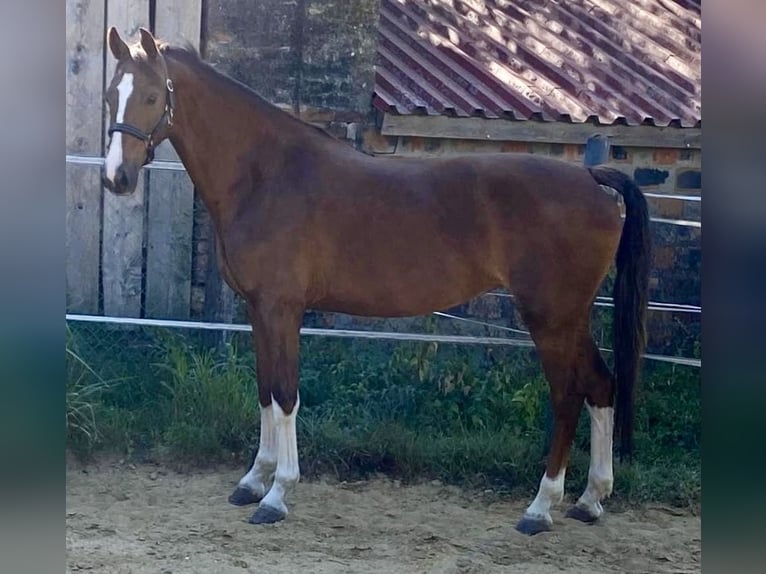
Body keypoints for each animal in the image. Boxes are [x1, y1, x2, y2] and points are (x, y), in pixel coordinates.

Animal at [101, 27, 650, 536]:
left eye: (151, 95)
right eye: (111, 94)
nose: (116, 179)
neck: (265, 174)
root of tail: (591, 179)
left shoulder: (283, 309)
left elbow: (286, 394)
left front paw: (277, 495)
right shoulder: (260, 310)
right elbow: (265, 390)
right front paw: (254, 480)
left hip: (550, 318)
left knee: (568, 396)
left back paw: (540, 507)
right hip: (571, 317)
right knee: (601, 386)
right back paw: (590, 500)